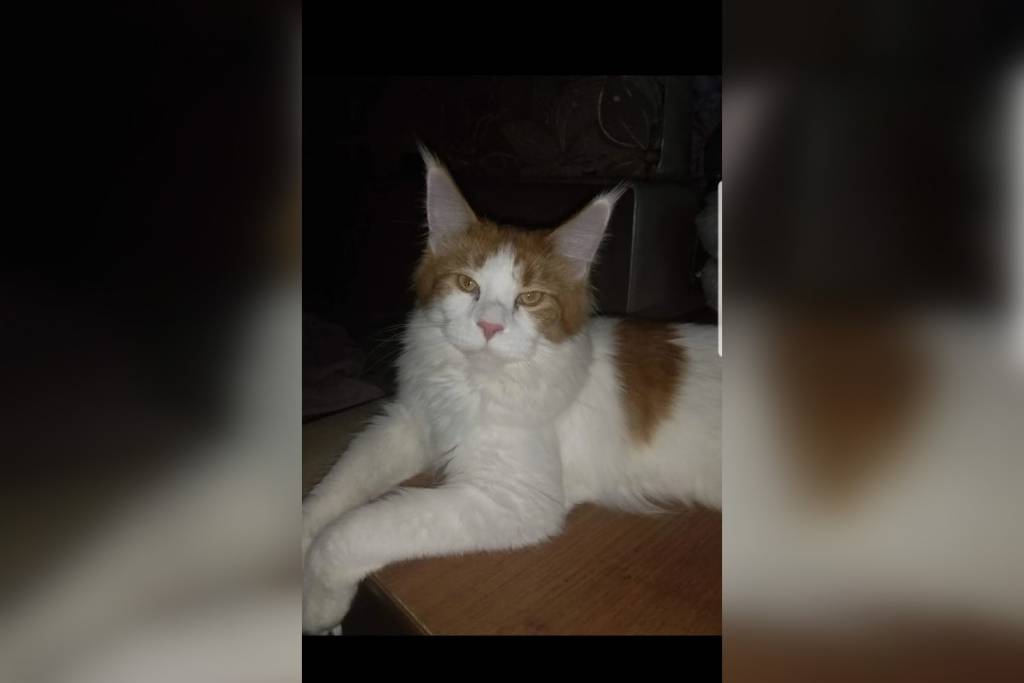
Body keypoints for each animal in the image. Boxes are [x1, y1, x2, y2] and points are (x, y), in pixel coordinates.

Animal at [302, 147, 721, 634]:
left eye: (530, 298)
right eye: (467, 284)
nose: (489, 326)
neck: (474, 385)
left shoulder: (516, 499)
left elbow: (350, 532)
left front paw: (320, 604)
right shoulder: (408, 421)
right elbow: (335, 489)